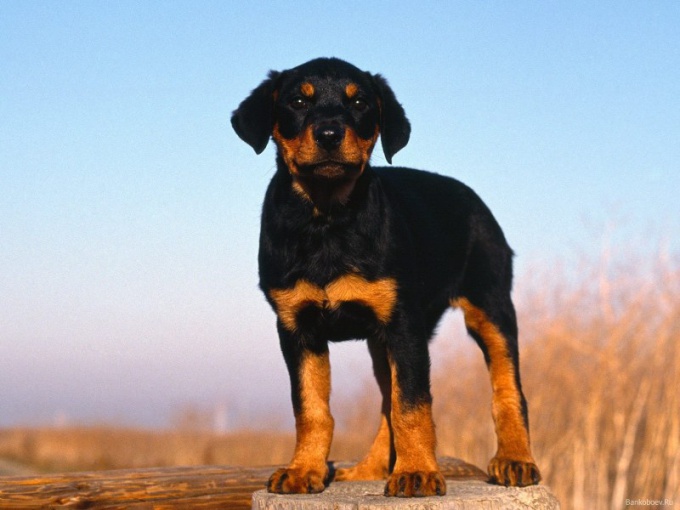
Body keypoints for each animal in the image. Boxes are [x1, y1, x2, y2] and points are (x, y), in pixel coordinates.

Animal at [231, 57, 540, 496]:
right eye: (297, 101)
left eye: (359, 101)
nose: (329, 134)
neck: (326, 219)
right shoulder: (296, 326)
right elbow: (311, 407)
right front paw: (303, 470)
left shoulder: (403, 326)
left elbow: (410, 405)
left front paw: (417, 472)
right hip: (382, 342)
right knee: (384, 403)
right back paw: (370, 468)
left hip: (491, 307)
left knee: (508, 388)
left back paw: (515, 459)